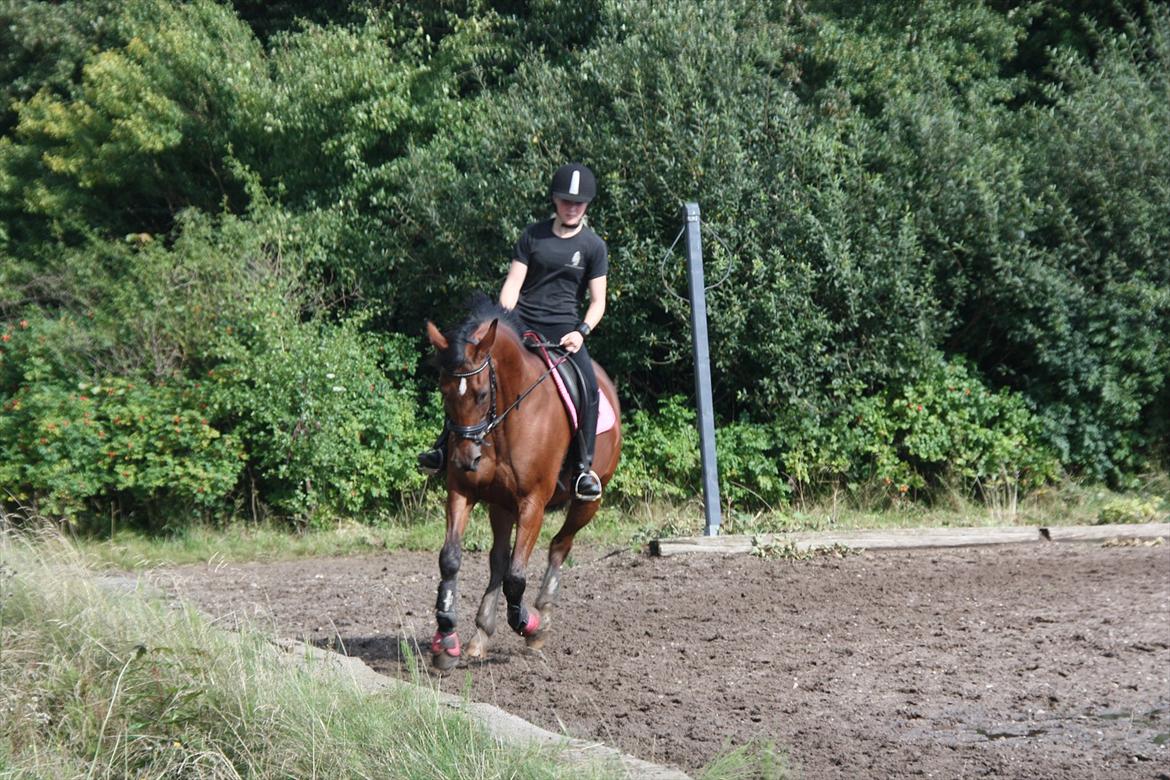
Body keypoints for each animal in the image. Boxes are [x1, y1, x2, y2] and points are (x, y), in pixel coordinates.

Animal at [423, 299, 622, 673]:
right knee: (498, 560)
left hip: (588, 502)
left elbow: (517, 576)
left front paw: (527, 624)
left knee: (559, 546)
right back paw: (481, 633)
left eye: (481, 394)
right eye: (443, 392)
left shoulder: (533, 502)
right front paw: (446, 638)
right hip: (501, 504)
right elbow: (451, 558)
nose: (465, 459)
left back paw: (541, 617)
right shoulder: (464, 492)